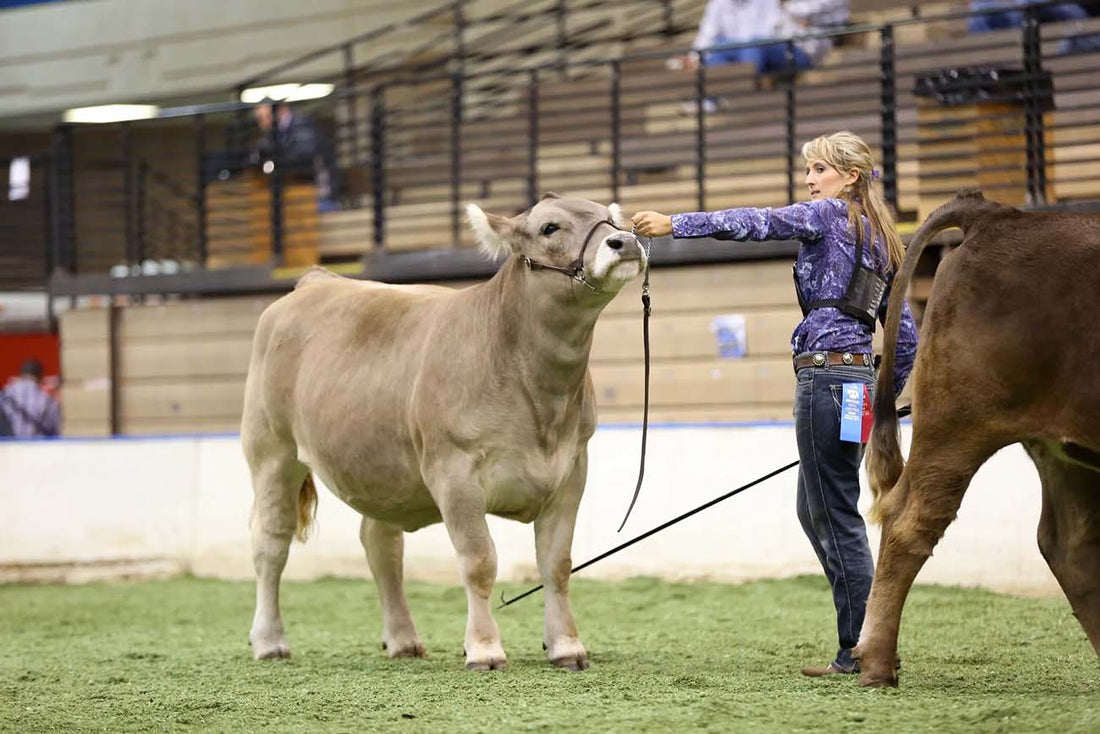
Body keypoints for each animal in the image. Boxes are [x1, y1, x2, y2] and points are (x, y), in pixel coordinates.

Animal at [240, 194, 642, 673]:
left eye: (611, 219)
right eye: (549, 227)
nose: (626, 242)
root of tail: (317, 280)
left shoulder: (570, 469)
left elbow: (557, 564)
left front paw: (565, 645)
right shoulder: (455, 472)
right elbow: (479, 562)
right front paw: (484, 649)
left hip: (381, 467)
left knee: (381, 546)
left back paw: (403, 640)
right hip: (271, 450)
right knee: (271, 542)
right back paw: (270, 641)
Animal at [858, 191, 1100, 691]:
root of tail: (996, 215)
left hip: (1061, 449)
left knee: (1071, 544)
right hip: (959, 422)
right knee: (910, 522)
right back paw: (876, 665)